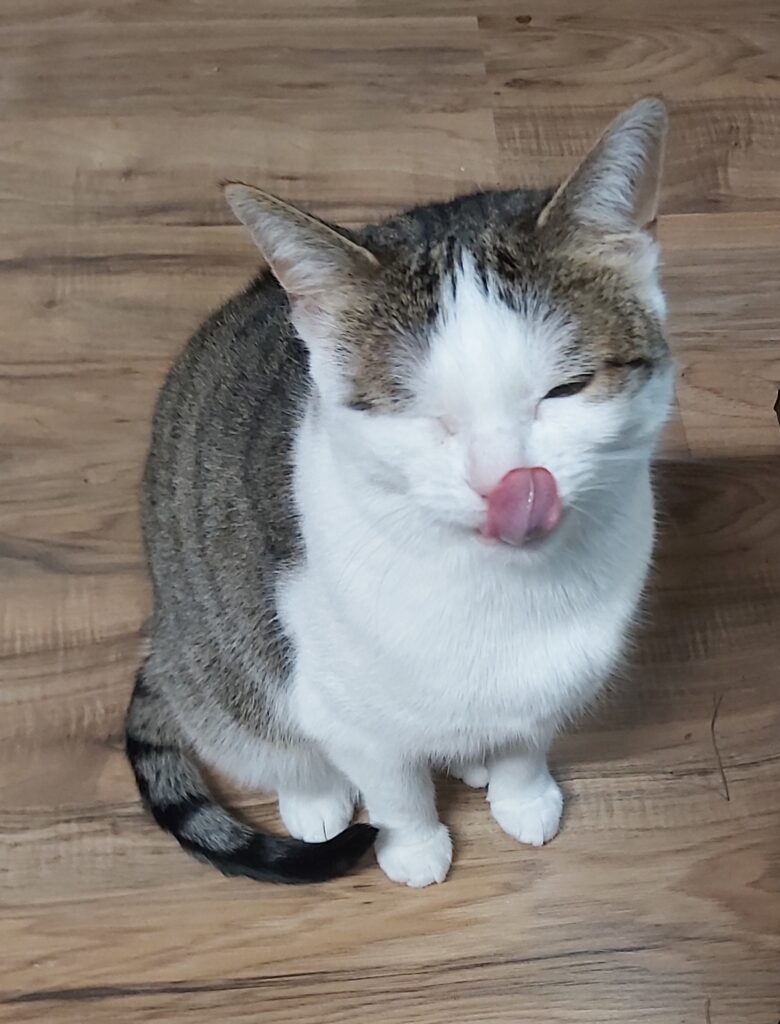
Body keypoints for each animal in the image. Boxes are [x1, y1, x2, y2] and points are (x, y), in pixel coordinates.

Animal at [126, 98, 674, 887]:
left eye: (566, 390)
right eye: (417, 413)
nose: (509, 483)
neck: (508, 595)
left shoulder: (551, 686)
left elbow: (525, 744)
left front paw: (523, 794)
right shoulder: (349, 715)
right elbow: (396, 787)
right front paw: (413, 847)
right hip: (218, 663)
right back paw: (315, 799)